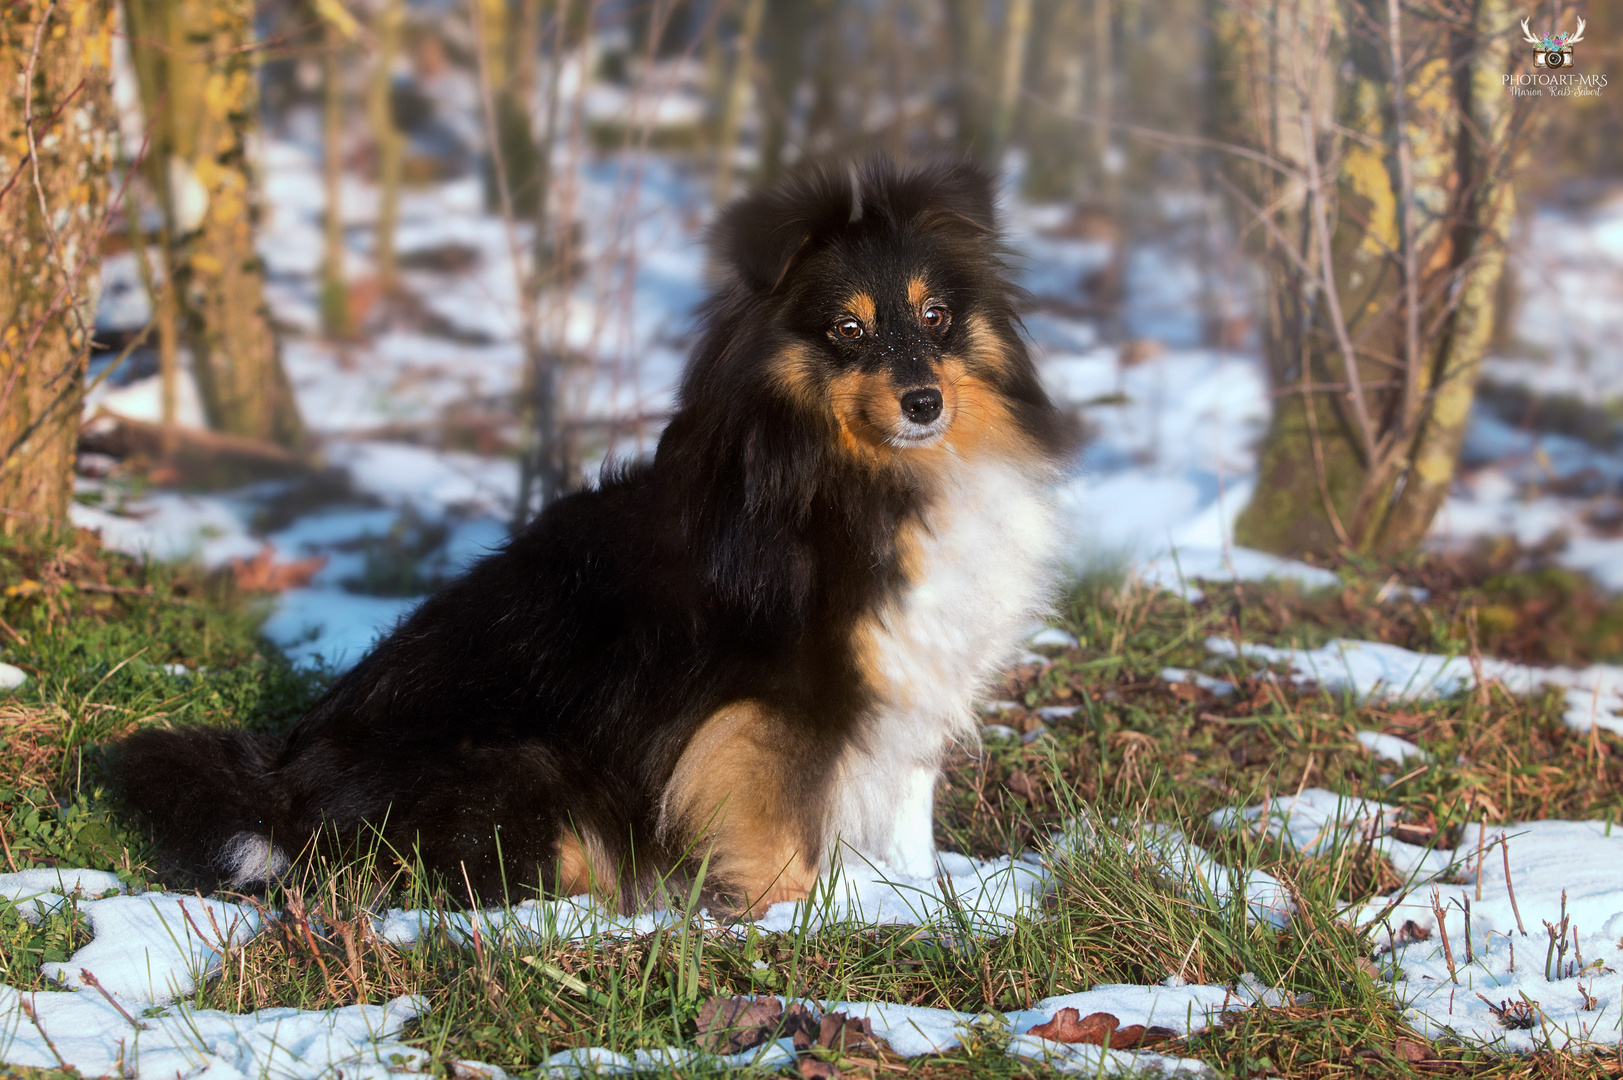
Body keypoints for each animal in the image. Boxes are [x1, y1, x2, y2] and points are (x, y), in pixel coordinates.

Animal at [114, 155, 1077, 915]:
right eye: (847, 329)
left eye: (935, 316)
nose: (924, 402)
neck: (864, 472)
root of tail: (279, 796)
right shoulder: (773, 700)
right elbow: (779, 831)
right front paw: (806, 920)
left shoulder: (910, 666)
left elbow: (907, 808)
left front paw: (928, 902)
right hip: (533, 772)